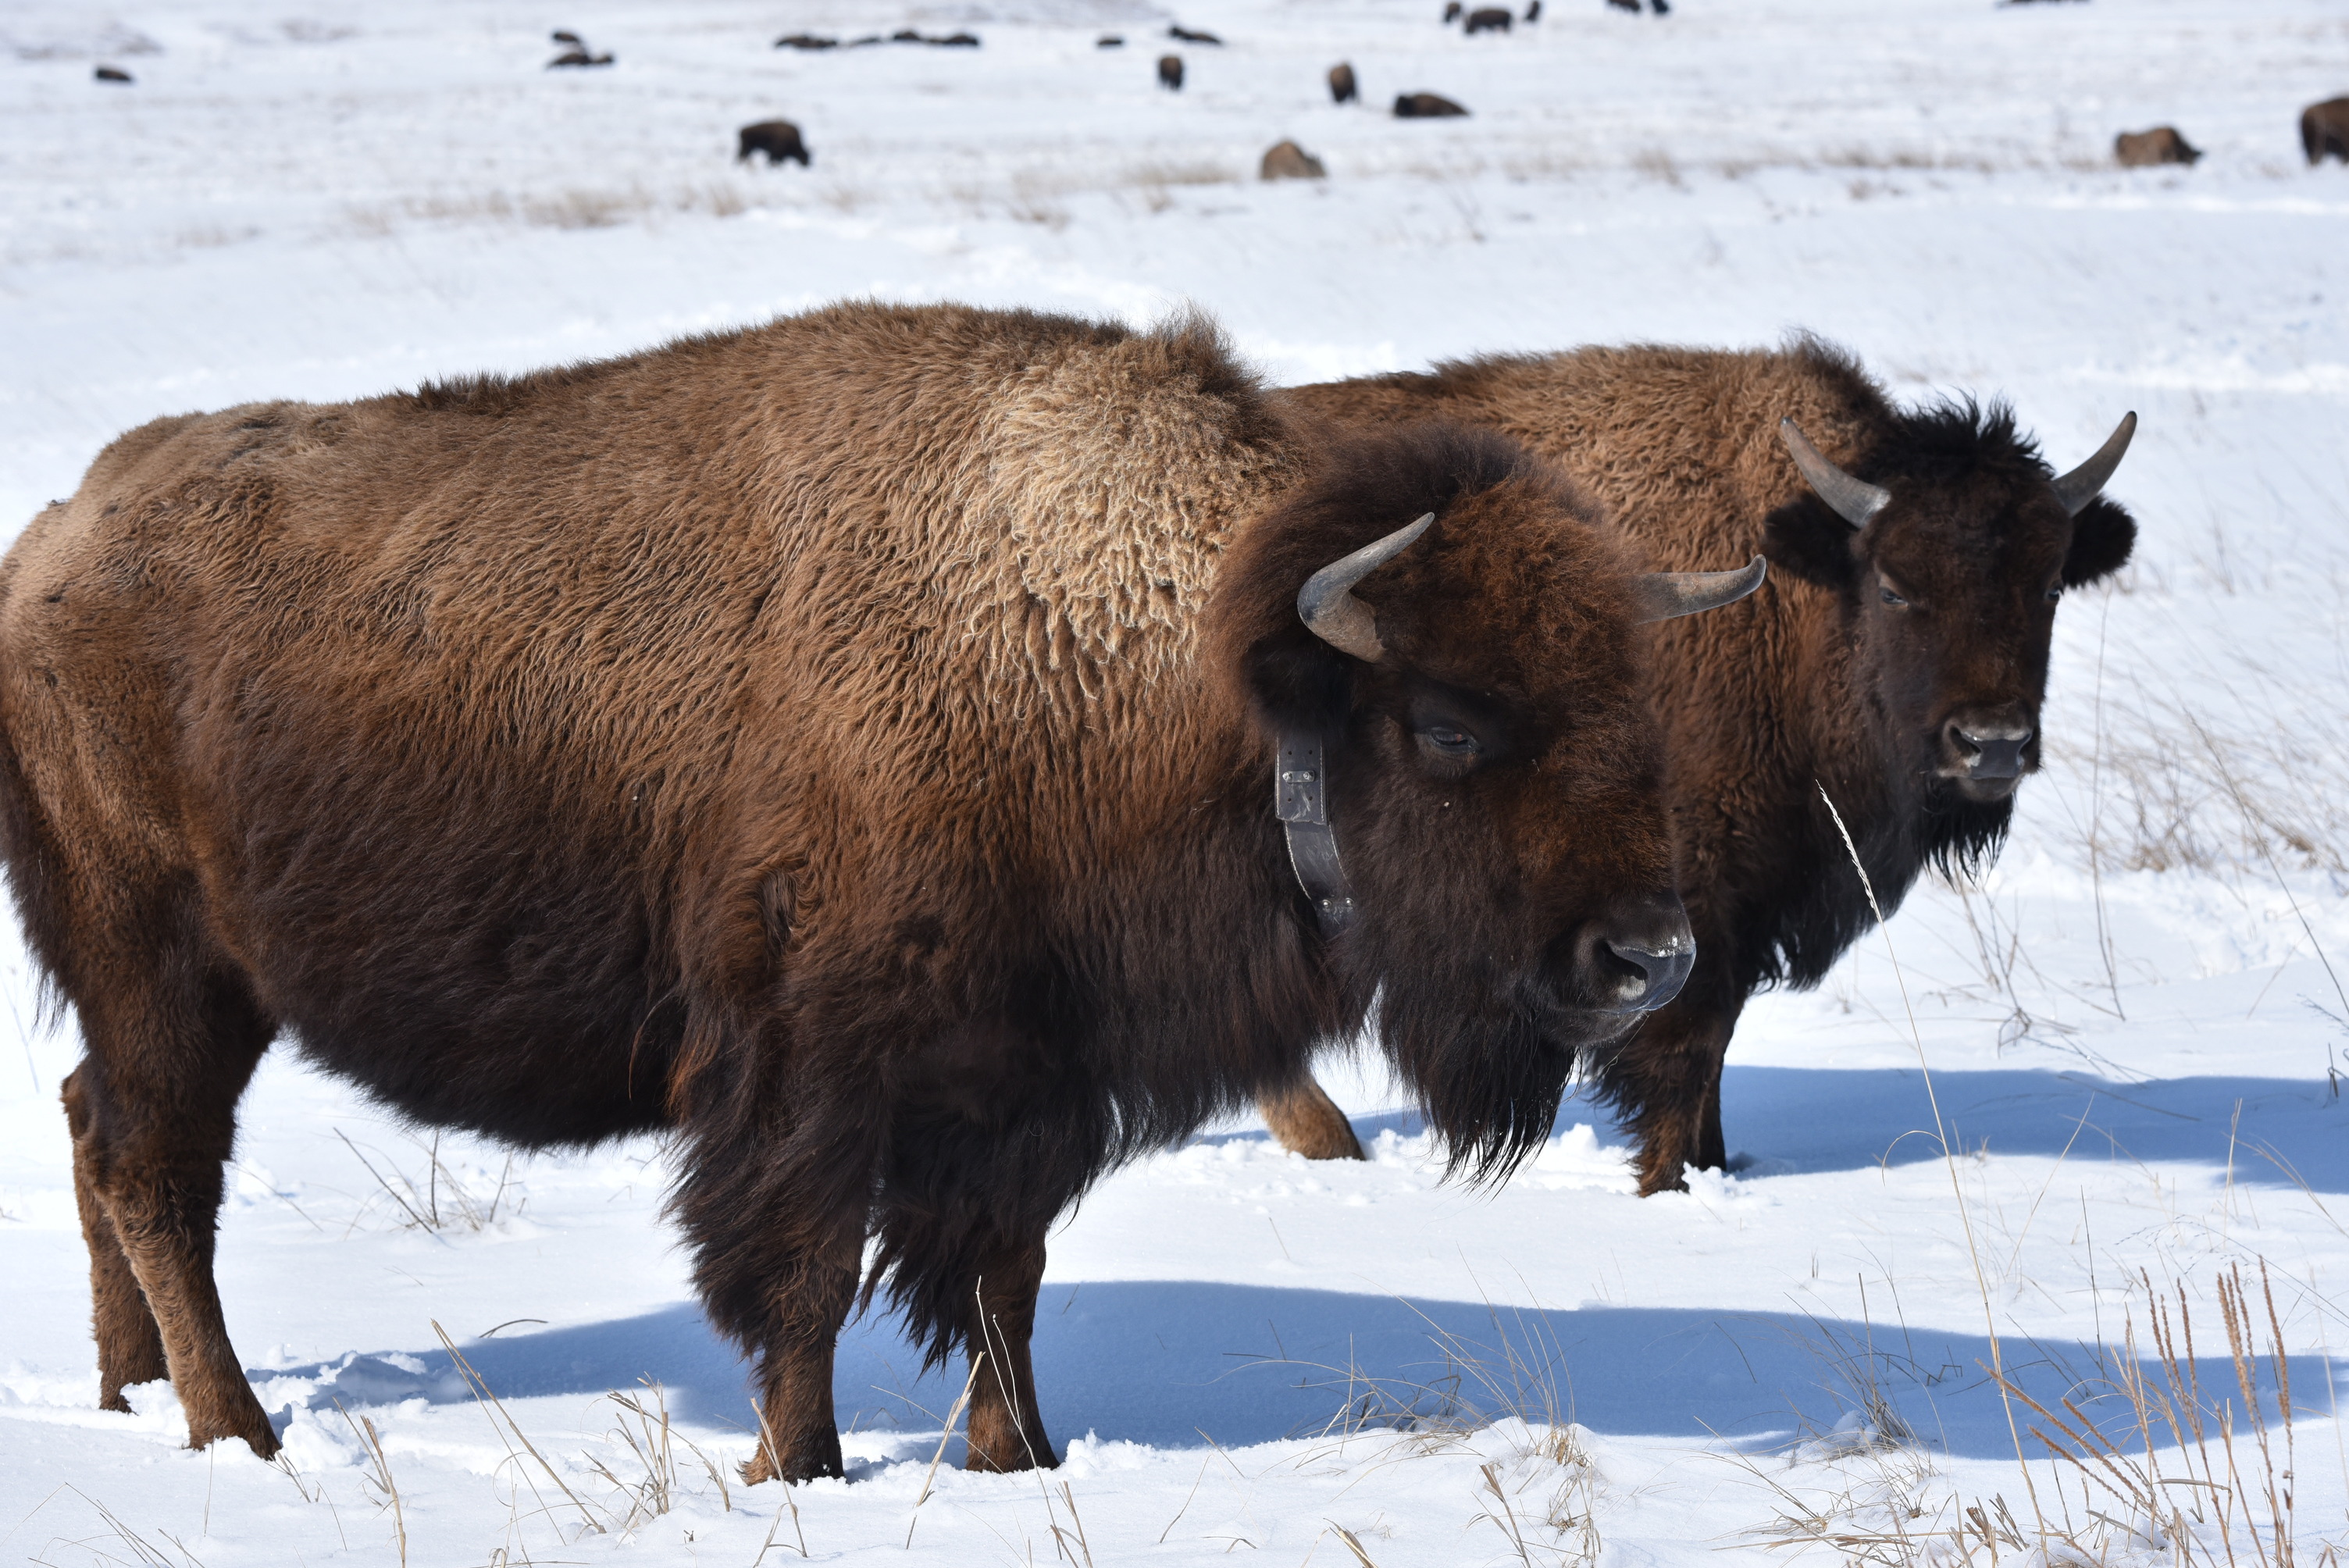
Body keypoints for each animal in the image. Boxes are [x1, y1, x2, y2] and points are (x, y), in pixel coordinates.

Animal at [0, 302, 1764, 1483]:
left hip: (178, 990)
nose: (1645, 953)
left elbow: (1002, 1278)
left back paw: (130, 1391)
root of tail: (55, 543)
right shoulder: (808, 1076)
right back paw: (234, 1427)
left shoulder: (1026, 1084)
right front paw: (802, 1467)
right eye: (1450, 724)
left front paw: (1018, 1455)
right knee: (153, 1165)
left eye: (1631, 696)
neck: (1141, 654)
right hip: (169, 968)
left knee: (99, 1134)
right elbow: (801, 1276)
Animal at [1264, 340, 2137, 1194]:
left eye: (2050, 586)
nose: (1992, 742)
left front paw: (1712, 1165)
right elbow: (1687, 1044)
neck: (1796, 594)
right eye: (1893, 587)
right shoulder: (1686, 899)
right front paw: (1669, 1182)